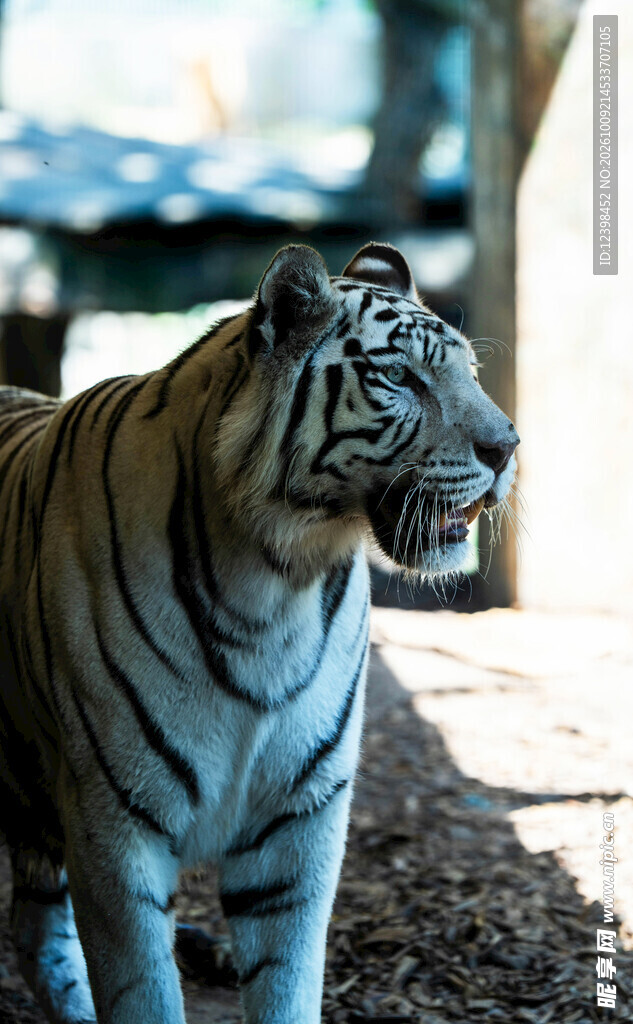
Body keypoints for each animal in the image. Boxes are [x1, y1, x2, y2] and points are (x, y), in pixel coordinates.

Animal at [0, 242, 518, 1024]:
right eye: (399, 377)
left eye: (471, 373)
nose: (508, 447)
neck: (275, 582)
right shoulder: (112, 819)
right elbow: (142, 989)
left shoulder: (299, 815)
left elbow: (286, 980)